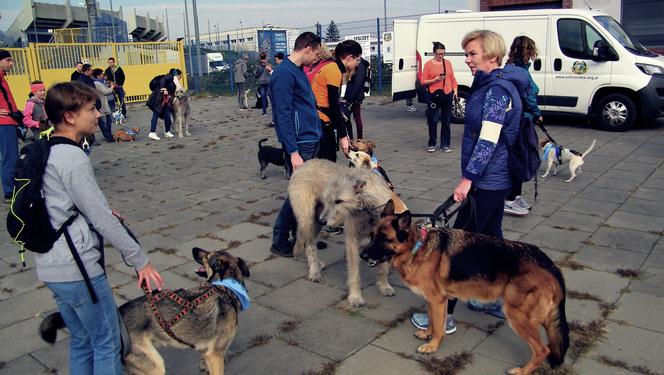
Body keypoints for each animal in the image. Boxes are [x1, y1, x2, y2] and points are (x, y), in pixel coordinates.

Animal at [39, 248, 252, 374]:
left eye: (207, 256)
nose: (194, 249)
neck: (227, 287)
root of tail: (117, 317)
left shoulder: (206, 353)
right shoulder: (215, 355)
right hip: (155, 365)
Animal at [292, 160, 408, 306]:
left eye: (338, 201)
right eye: (327, 200)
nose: (323, 221)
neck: (369, 208)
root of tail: (303, 164)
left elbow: (383, 267)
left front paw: (384, 286)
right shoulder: (352, 239)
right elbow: (354, 272)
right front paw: (355, 297)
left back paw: (317, 264)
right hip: (309, 218)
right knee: (310, 245)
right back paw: (314, 270)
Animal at [360, 200, 568, 374]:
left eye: (384, 239)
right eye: (371, 236)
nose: (362, 256)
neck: (417, 247)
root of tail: (550, 265)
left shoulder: (437, 300)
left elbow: (439, 327)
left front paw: (433, 346)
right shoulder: (433, 301)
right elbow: (432, 321)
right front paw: (427, 334)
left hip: (518, 317)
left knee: (543, 349)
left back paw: (523, 371)